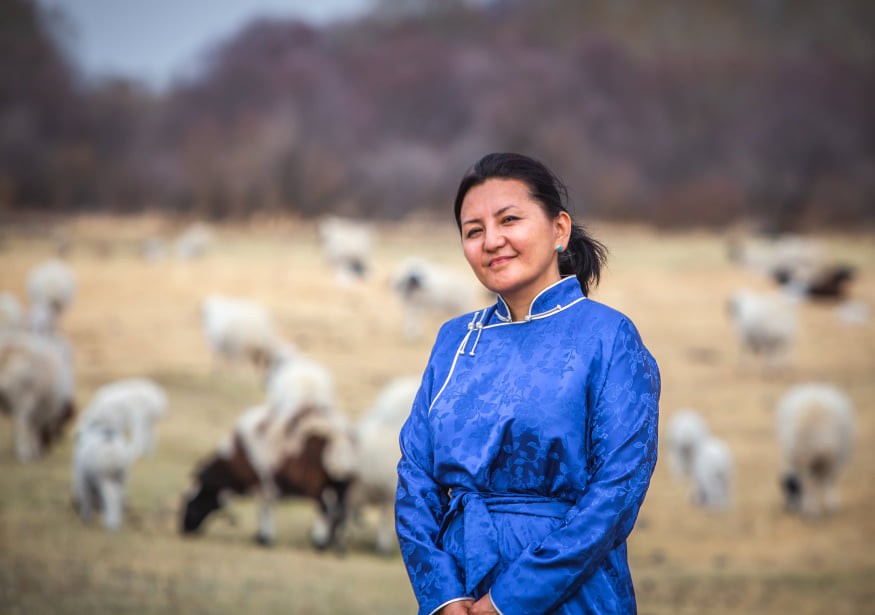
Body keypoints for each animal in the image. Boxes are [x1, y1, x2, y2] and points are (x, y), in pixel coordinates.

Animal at [0, 332, 75, 462]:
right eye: (63, 423)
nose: (47, 449)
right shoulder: (41, 411)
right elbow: (35, 429)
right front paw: (35, 450)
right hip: (23, 401)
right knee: (20, 425)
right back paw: (24, 454)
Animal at [180, 402, 358, 552]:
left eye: (192, 503)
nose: (183, 529)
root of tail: (340, 433)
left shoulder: (263, 481)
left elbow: (264, 507)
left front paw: (264, 538)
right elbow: (266, 506)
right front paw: (261, 536)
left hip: (318, 481)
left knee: (325, 507)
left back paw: (319, 542)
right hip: (342, 482)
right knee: (342, 510)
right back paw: (338, 547)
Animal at [772, 380, 856, 520]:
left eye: (792, 489)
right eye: (786, 489)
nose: (790, 509)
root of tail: (815, 387)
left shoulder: (827, 461)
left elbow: (823, 483)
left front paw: (818, 507)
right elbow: (814, 485)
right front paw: (813, 508)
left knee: (825, 481)